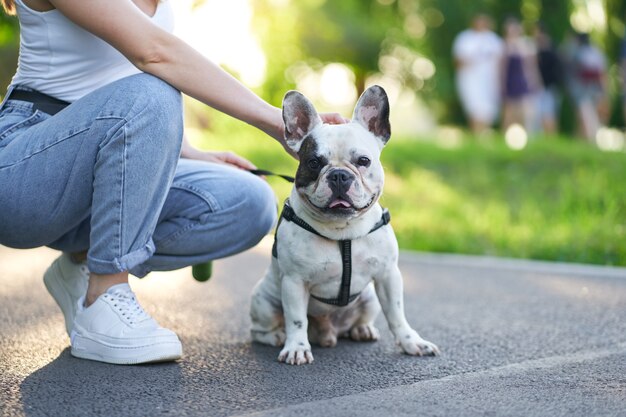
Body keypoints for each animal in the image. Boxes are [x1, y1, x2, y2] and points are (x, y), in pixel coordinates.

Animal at [250, 85, 438, 364]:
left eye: (363, 161)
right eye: (314, 163)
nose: (339, 175)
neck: (343, 230)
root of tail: (328, 332)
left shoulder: (388, 276)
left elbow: (397, 315)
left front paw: (411, 342)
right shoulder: (294, 283)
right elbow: (296, 320)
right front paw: (296, 348)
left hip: (369, 298)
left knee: (360, 319)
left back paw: (362, 329)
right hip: (263, 301)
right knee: (261, 329)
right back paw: (276, 336)